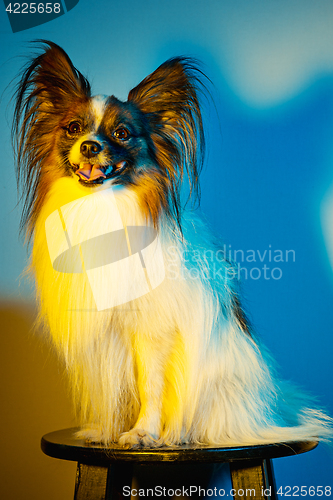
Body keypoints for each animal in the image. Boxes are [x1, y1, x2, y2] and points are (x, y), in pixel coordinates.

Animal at [12, 42, 330, 446]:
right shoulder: (106, 335)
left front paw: (143, 432)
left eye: (122, 133)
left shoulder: (152, 330)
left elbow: (150, 385)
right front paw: (106, 429)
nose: (89, 146)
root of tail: (270, 410)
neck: (103, 207)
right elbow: (113, 388)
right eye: (73, 128)